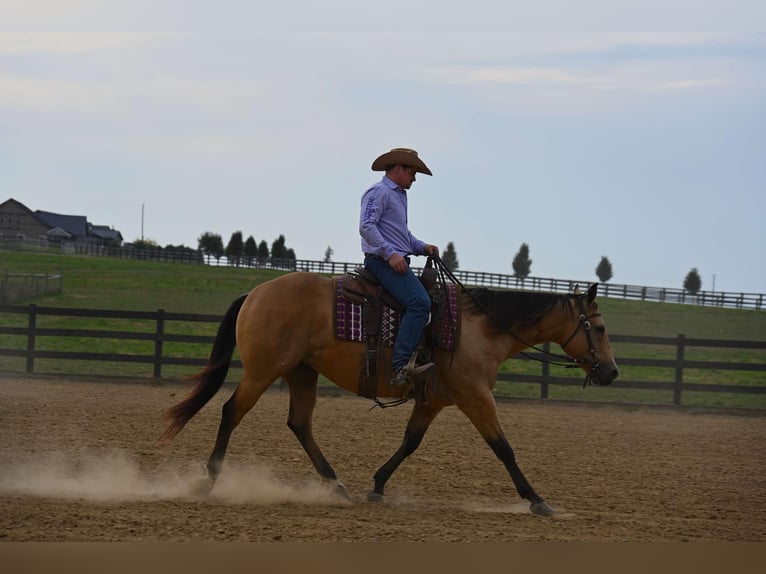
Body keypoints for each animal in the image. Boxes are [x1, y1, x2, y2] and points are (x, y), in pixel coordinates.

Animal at [162, 270, 616, 516]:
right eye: (600, 327)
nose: (611, 371)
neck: (479, 330)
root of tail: (255, 292)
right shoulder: (475, 398)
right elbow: (504, 448)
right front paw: (537, 500)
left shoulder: (434, 400)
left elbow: (410, 442)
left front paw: (378, 486)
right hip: (262, 372)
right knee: (230, 412)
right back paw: (210, 480)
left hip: (301, 374)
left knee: (299, 424)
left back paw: (336, 485)